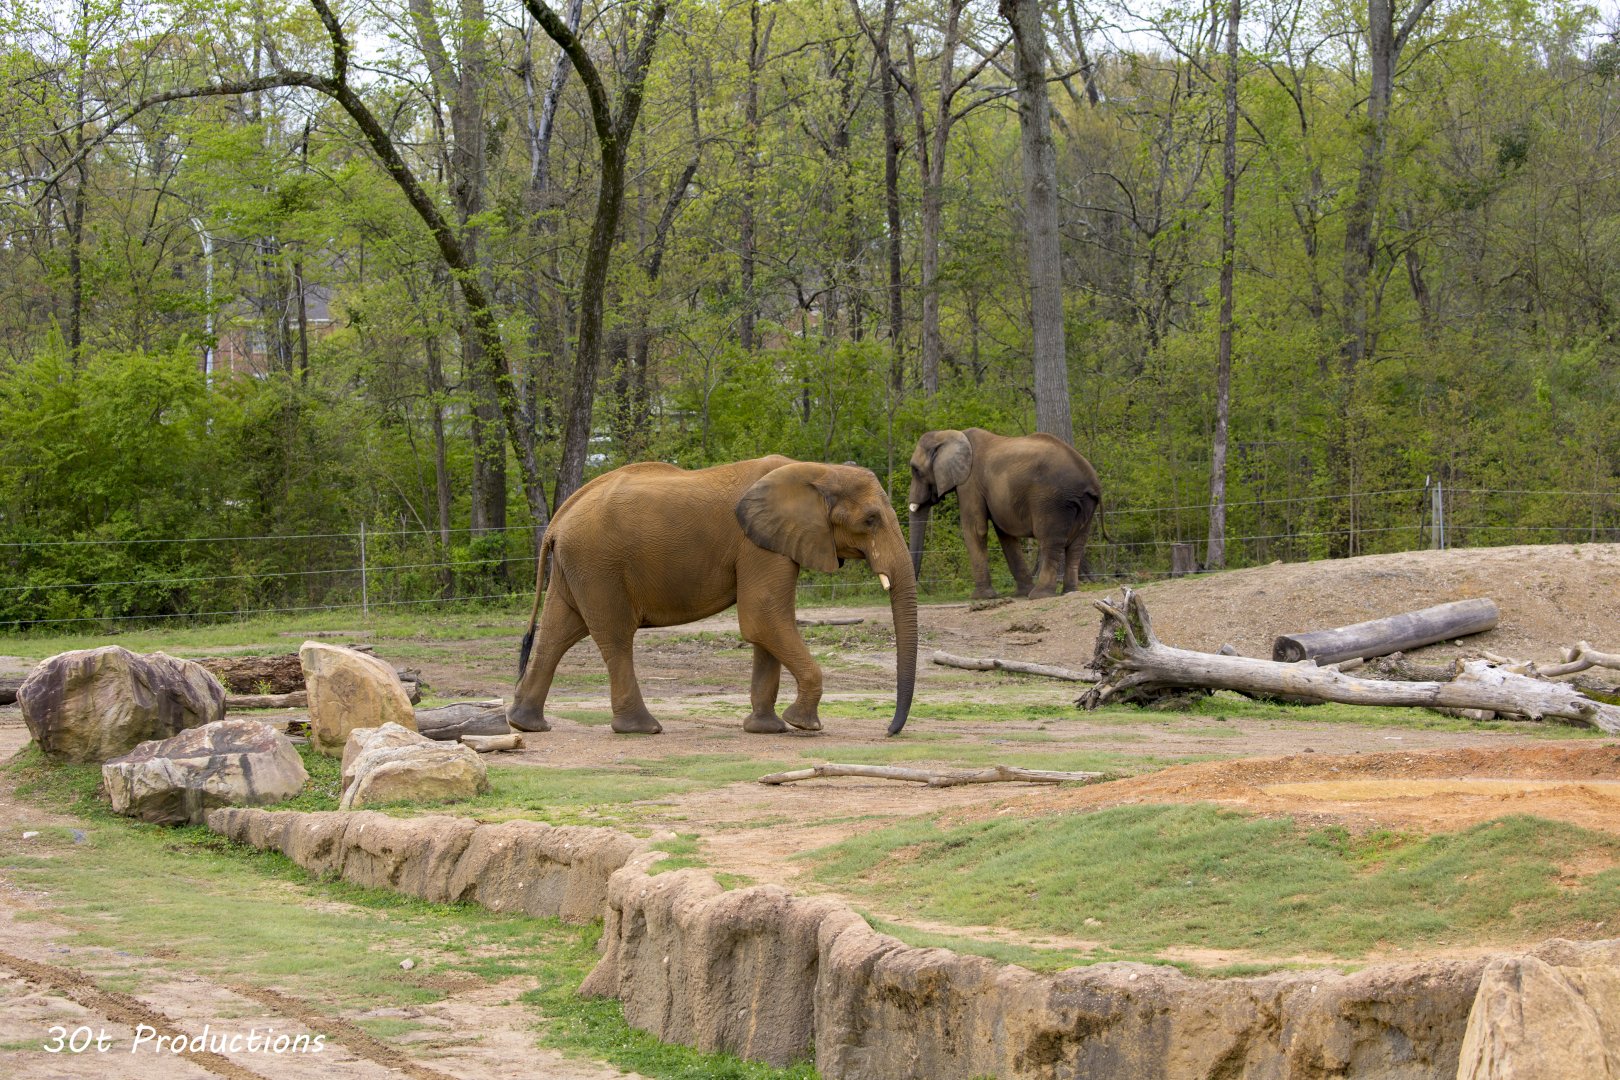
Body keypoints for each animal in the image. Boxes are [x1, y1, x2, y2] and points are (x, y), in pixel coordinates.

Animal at [507, 456, 919, 737]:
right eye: (870, 520)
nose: (888, 730)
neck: (817, 471)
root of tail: (557, 521)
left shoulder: (770, 543)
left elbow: (766, 626)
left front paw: (766, 728)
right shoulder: (757, 546)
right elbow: (762, 618)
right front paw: (802, 724)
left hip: (576, 568)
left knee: (558, 633)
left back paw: (525, 725)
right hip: (598, 566)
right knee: (615, 637)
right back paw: (643, 729)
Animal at [907, 428, 1102, 600]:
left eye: (915, 470)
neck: (949, 434)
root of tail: (1089, 478)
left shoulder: (970, 483)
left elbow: (975, 529)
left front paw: (981, 597)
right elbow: (1005, 534)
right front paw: (1020, 593)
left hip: (1053, 501)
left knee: (1050, 540)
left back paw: (1039, 595)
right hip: (1086, 505)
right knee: (1077, 545)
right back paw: (1069, 592)